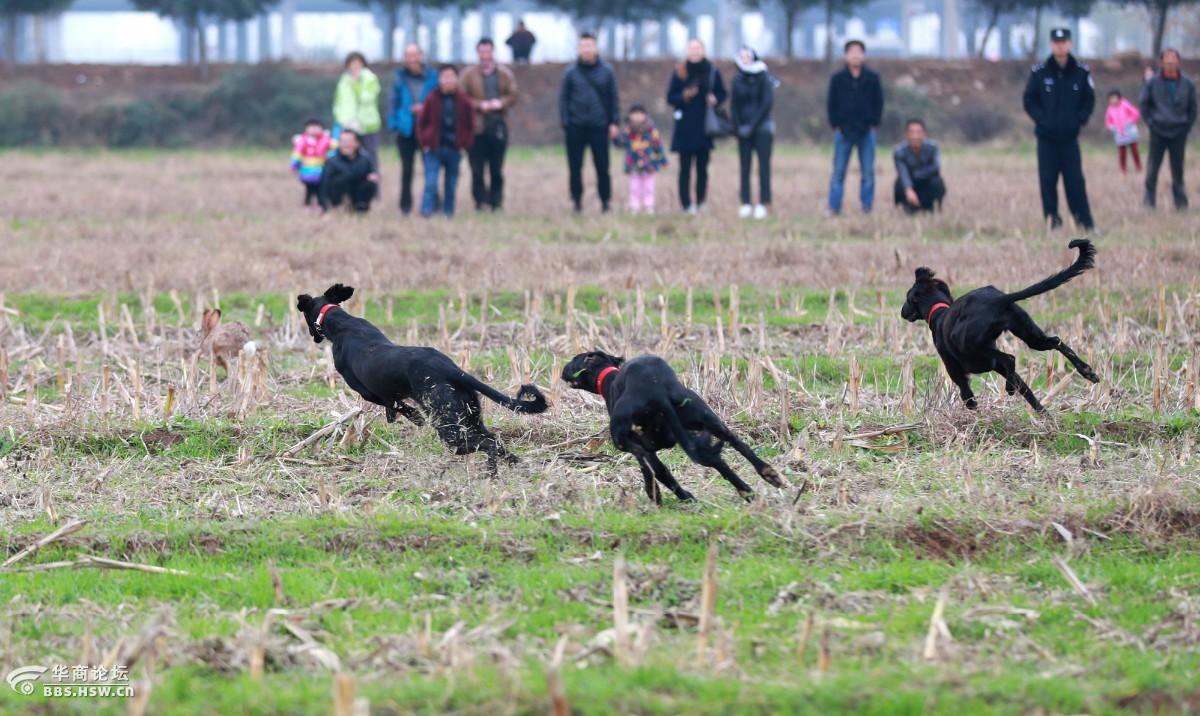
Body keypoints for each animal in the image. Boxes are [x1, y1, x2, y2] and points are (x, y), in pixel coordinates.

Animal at [902, 238, 1099, 410]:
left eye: (908, 298)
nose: (902, 312)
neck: (939, 312)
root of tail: (999, 299)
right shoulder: (999, 368)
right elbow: (1030, 395)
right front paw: (1046, 417)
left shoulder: (957, 372)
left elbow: (968, 398)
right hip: (1029, 335)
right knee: (1055, 341)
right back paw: (1087, 371)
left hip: (972, 347)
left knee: (1010, 358)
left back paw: (1009, 389)